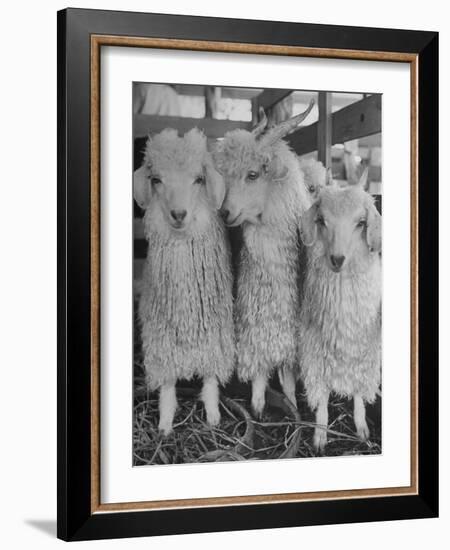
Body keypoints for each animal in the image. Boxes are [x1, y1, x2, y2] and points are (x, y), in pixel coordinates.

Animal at [134, 128, 234, 436]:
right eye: (156, 179)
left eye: (199, 179)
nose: (178, 215)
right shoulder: (160, 339)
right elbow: (167, 384)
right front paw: (165, 424)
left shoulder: (216, 335)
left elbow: (211, 378)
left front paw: (213, 417)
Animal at [214, 100, 312, 418]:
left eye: (253, 174)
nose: (225, 213)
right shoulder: (254, 324)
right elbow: (259, 370)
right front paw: (257, 407)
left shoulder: (289, 332)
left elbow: (289, 376)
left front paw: (293, 408)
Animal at [298, 177, 384, 452]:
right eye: (322, 220)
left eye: (361, 222)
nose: (337, 259)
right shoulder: (315, 353)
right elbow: (322, 396)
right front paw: (320, 435)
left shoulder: (364, 353)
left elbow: (358, 393)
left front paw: (362, 429)